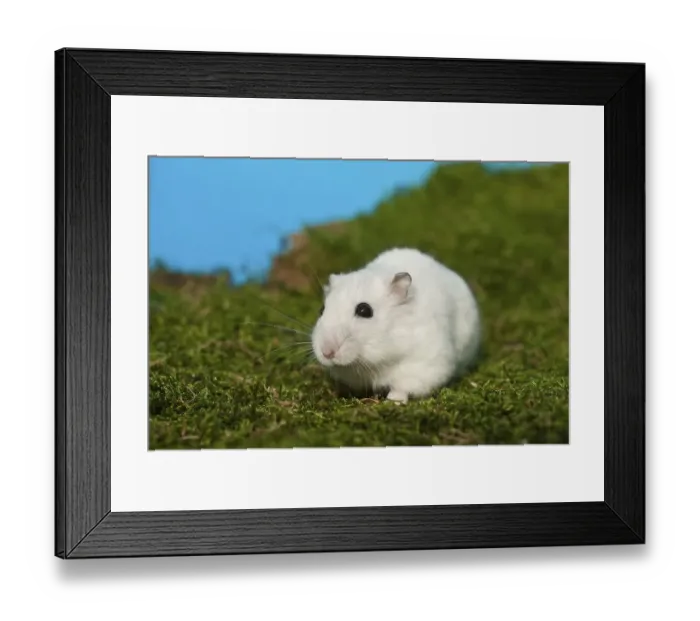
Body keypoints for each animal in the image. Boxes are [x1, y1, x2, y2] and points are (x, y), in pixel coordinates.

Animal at [311, 247, 481, 403]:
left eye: (364, 310)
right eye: (321, 310)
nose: (327, 353)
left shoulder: (422, 364)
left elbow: (402, 387)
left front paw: (394, 401)